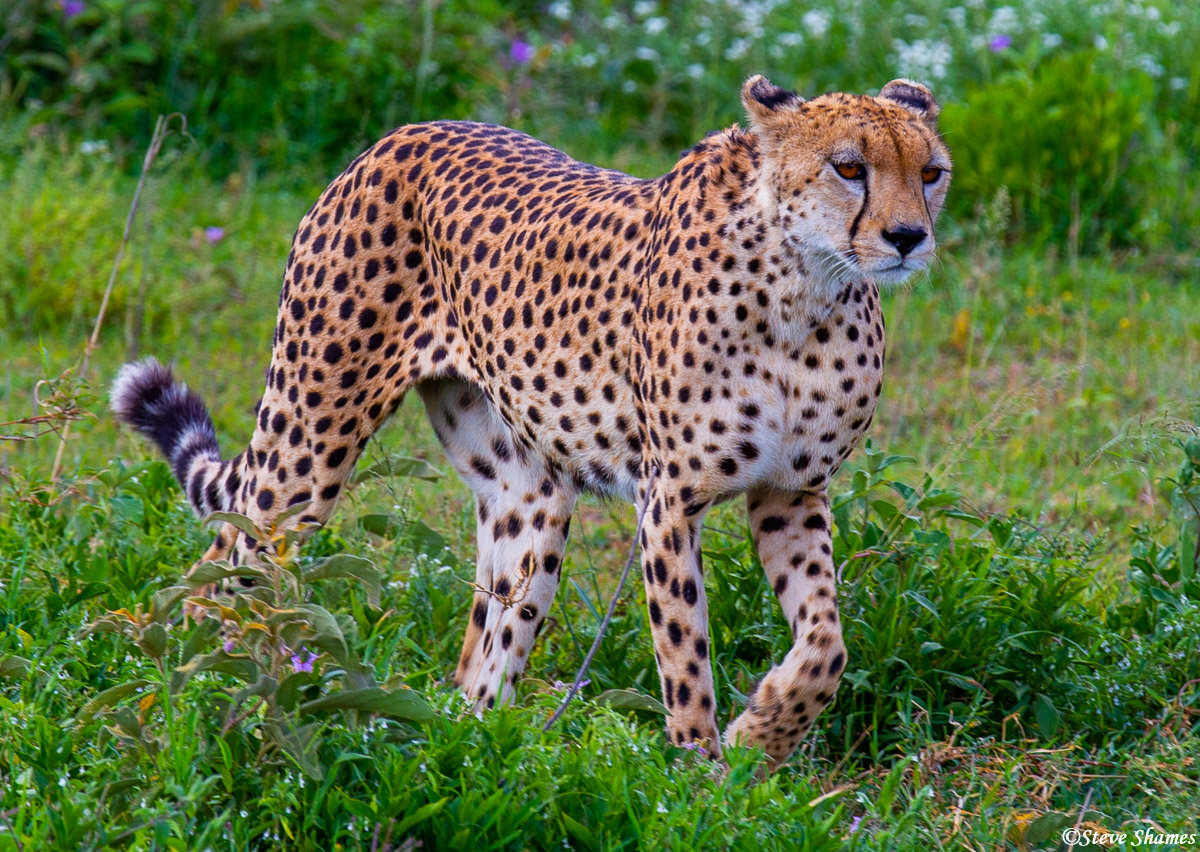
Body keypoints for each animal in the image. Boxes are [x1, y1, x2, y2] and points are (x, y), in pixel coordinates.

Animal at [114, 76, 955, 763]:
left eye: (930, 174)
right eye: (849, 168)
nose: (908, 237)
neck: (805, 292)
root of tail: (405, 133)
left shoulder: (791, 491)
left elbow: (827, 645)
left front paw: (767, 728)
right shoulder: (669, 501)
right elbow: (685, 658)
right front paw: (704, 776)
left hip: (529, 501)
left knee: (481, 660)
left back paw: (475, 748)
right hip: (306, 448)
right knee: (224, 563)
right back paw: (197, 704)